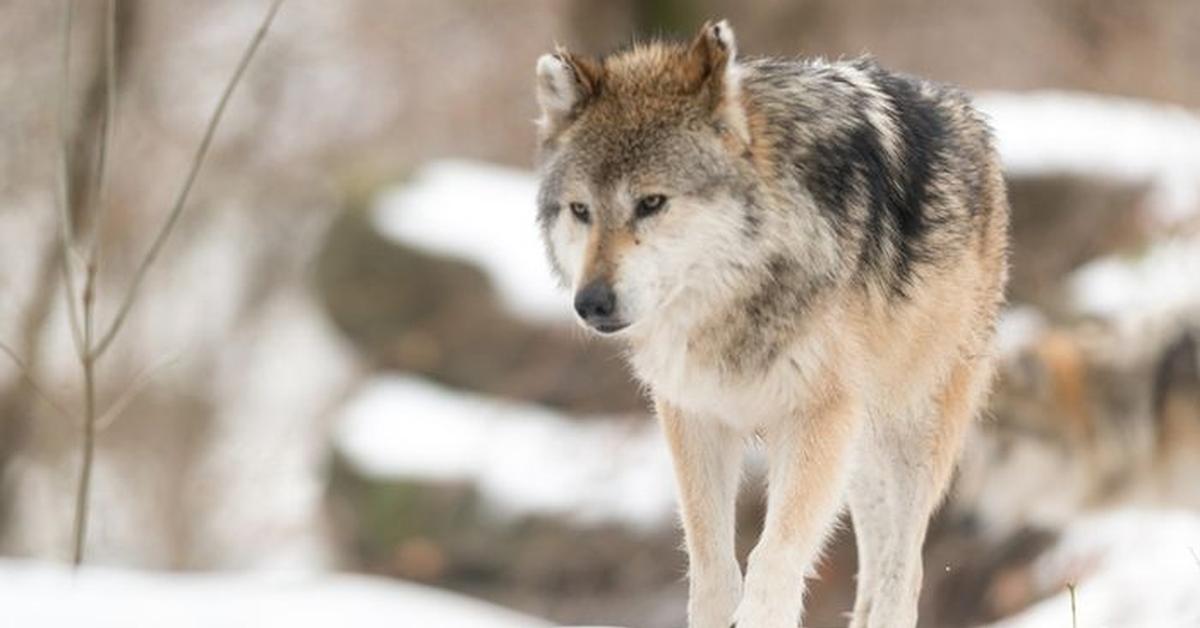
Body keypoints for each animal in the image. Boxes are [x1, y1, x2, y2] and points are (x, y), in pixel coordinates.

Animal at [530, 19, 1008, 628]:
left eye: (651, 203)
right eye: (581, 211)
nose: (589, 303)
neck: (738, 298)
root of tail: (963, 109)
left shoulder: (817, 417)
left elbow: (774, 559)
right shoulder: (695, 416)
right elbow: (711, 567)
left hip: (911, 436)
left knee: (902, 578)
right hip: (862, 457)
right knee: (872, 573)